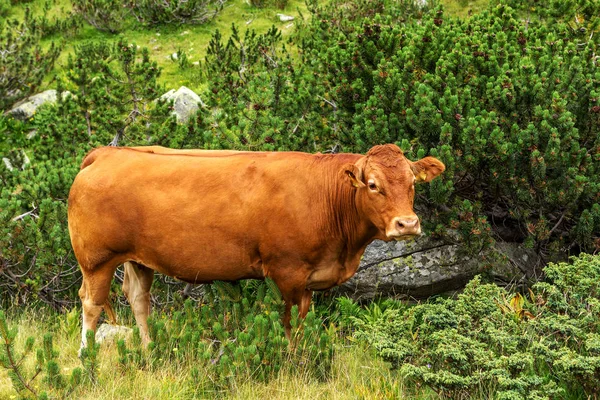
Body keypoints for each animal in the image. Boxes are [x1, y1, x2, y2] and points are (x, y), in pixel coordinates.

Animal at [69, 145, 446, 348]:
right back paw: (86, 358)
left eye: (412, 182)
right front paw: (293, 360)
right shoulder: (287, 272)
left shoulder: (308, 280)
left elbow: (302, 321)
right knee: (91, 303)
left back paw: (149, 349)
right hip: (97, 259)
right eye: (372, 184)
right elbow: (290, 324)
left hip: (138, 259)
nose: (407, 224)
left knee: (138, 299)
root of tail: (106, 153)